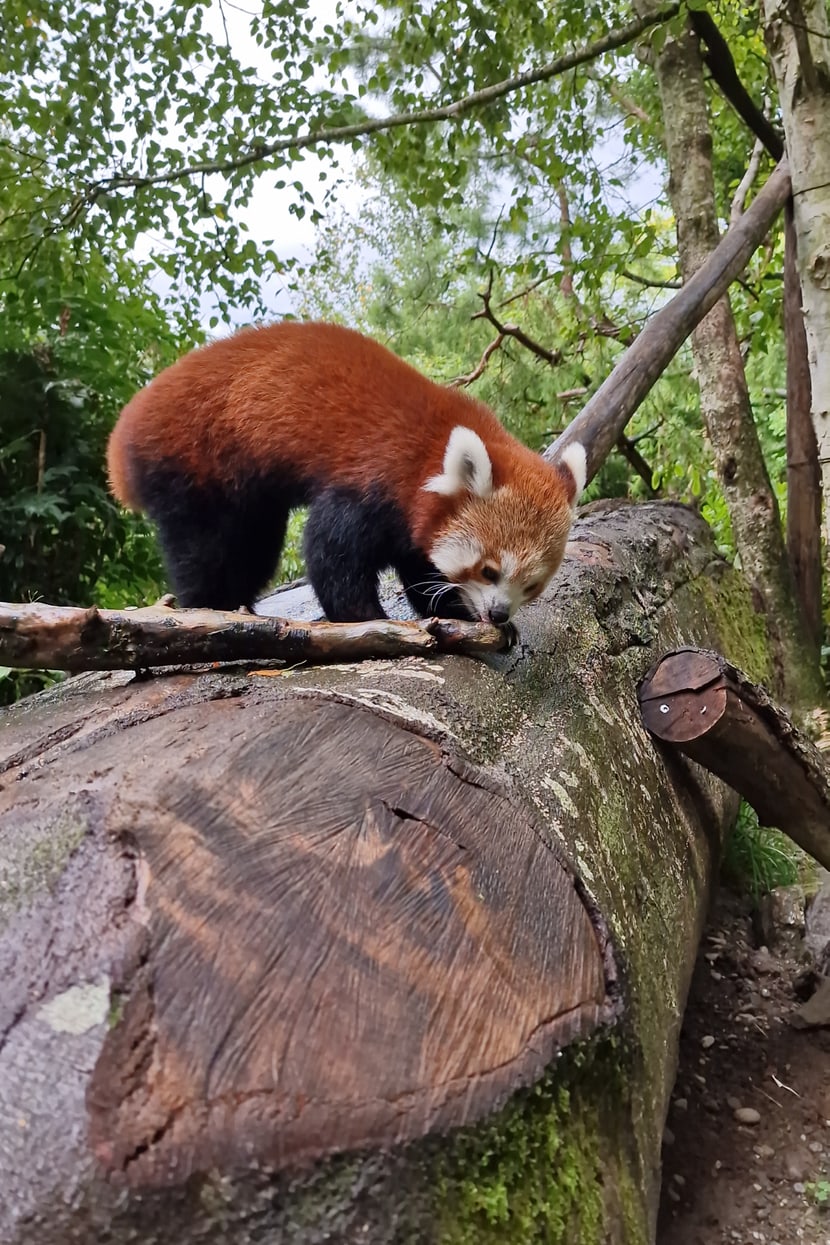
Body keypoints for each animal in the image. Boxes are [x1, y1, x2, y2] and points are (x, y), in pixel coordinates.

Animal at [107, 321, 587, 627]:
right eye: (489, 571)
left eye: (532, 586)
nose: (498, 614)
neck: (432, 449)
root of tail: (126, 427)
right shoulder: (373, 475)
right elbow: (333, 550)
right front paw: (363, 617)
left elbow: (419, 563)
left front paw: (452, 610)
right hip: (196, 460)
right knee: (205, 549)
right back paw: (210, 605)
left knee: (254, 548)